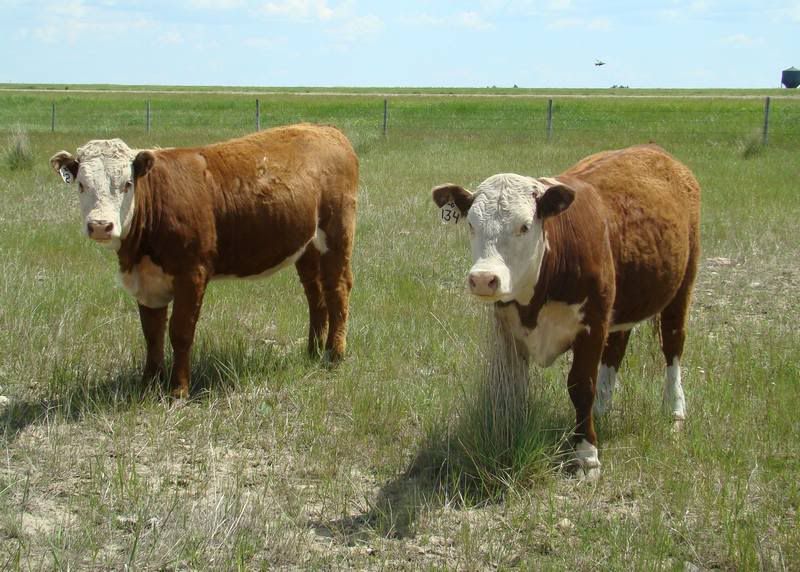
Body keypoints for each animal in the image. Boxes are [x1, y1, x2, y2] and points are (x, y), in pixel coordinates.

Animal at [50, 123, 358, 398]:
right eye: (81, 185)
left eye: (127, 184)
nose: (100, 226)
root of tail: (327, 130)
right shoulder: (146, 281)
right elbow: (152, 333)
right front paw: (148, 383)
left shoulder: (192, 273)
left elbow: (181, 331)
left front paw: (178, 390)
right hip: (307, 246)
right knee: (315, 294)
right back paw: (312, 351)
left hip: (337, 231)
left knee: (337, 289)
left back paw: (334, 354)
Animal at [432, 144, 701, 478]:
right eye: (471, 225)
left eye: (524, 226)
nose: (483, 278)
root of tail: (654, 150)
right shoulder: (507, 328)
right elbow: (511, 388)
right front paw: (510, 438)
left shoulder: (592, 324)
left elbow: (581, 385)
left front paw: (586, 454)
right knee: (616, 348)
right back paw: (602, 408)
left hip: (682, 286)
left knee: (673, 343)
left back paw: (674, 410)